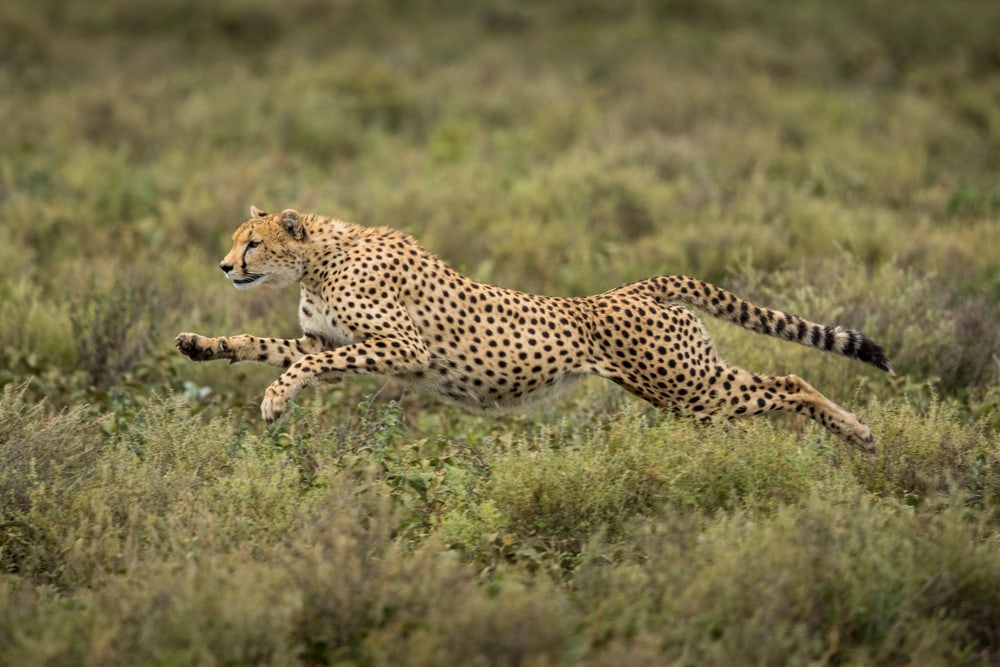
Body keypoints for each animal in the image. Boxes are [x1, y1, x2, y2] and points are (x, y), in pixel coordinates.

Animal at [176, 206, 893, 451]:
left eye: (252, 242)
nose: (224, 265)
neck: (319, 258)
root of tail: (637, 286)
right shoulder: (328, 339)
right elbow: (268, 347)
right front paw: (203, 344)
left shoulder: (400, 347)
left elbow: (304, 366)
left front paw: (274, 401)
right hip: (684, 386)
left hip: (690, 388)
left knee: (792, 381)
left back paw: (858, 433)